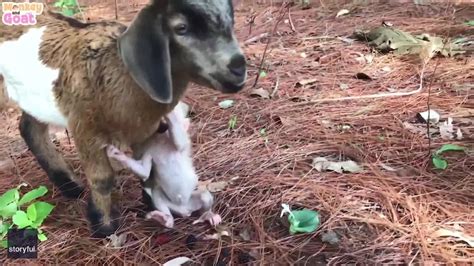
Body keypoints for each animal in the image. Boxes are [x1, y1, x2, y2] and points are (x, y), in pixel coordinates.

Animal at [0, 0, 248, 237]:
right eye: (181, 28)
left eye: (231, 21)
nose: (239, 68)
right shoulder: (84, 124)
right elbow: (102, 178)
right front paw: (104, 226)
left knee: (30, 128)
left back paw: (70, 186)